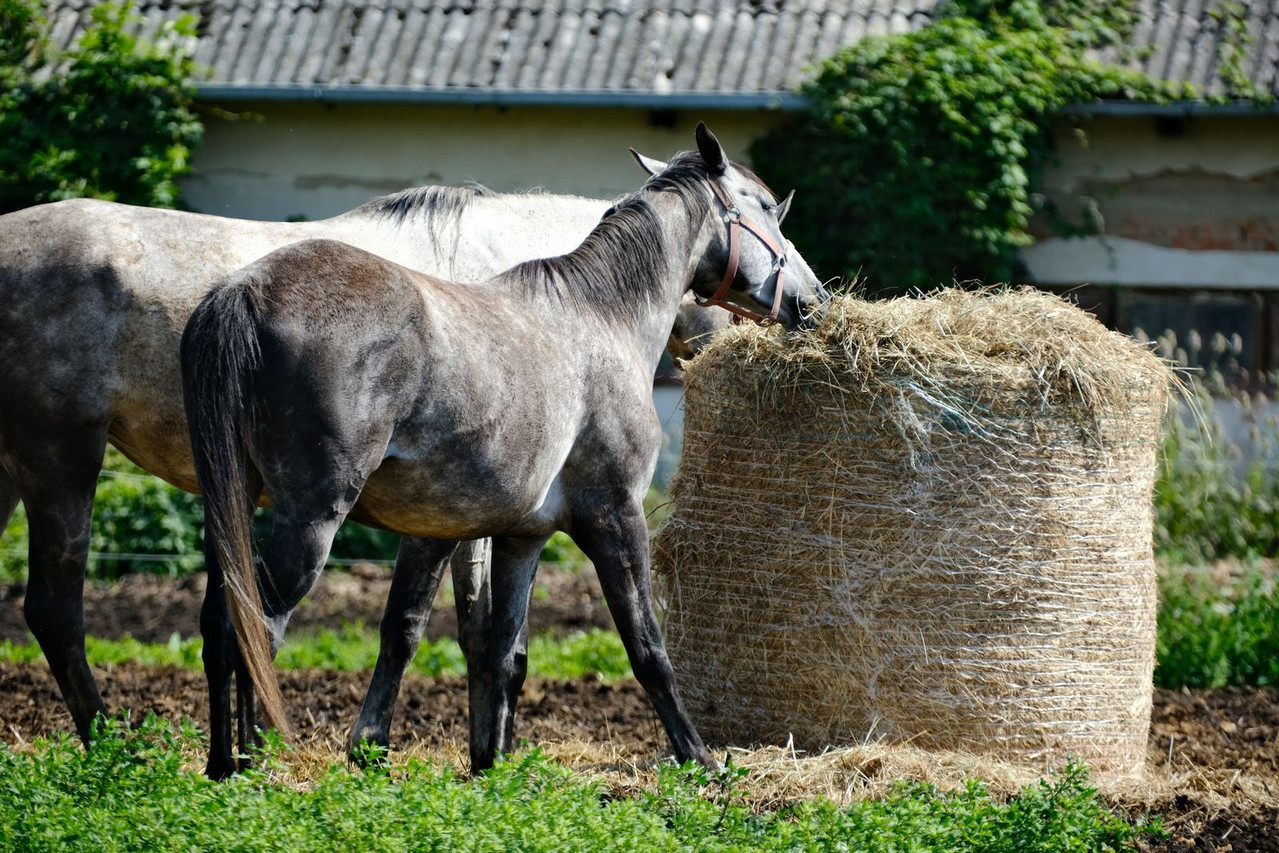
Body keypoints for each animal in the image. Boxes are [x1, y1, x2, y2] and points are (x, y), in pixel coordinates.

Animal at [0, 169, 798, 746]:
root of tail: (240, 295)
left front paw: (485, 755)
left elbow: (475, 640)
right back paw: (124, 745)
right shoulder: (526, 516)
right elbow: (457, 631)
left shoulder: (472, 519)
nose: (805, 302)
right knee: (68, 612)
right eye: (768, 211)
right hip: (67, 460)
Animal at [181, 123, 825, 778]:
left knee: (221, 625)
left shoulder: (521, 537)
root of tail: (244, 290)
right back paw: (251, 764)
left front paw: (489, 763)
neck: (602, 316)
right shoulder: (616, 517)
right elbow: (647, 648)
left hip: (231, 509)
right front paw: (699, 758)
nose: (810, 300)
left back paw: (221, 764)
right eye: (767, 208)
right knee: (256, 628)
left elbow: (497, 647)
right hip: (310, 522)